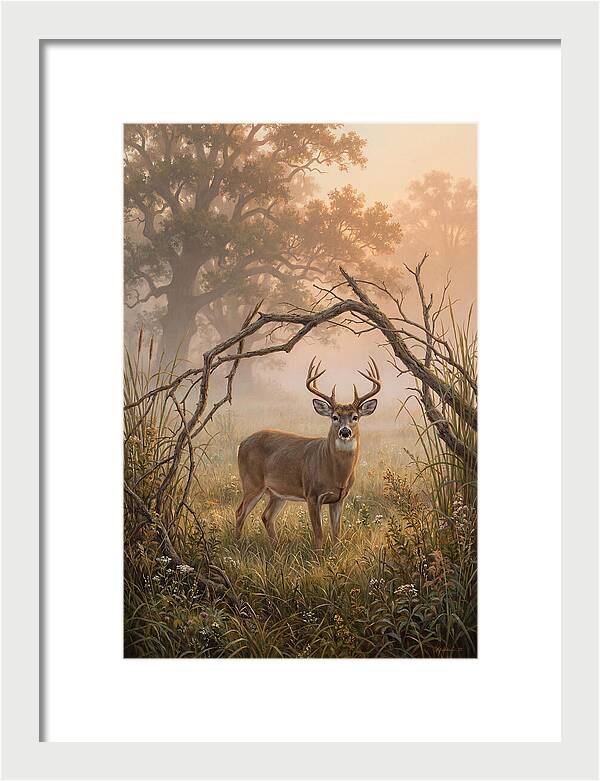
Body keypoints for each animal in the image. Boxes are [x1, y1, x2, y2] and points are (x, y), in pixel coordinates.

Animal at [235, 357, 381, 547]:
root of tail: (242, 443)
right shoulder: (312, 494)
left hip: (277, 492)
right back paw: (237, 544)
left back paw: (276, 547)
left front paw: (335, 552)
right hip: (252, 482)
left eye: (355, 417)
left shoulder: (340, 498)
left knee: (266, 516)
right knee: (240, 513)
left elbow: (336, 534)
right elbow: (318, 534)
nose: (345, 431)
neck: (335, 473)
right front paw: (319, 554)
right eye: (334, 417)